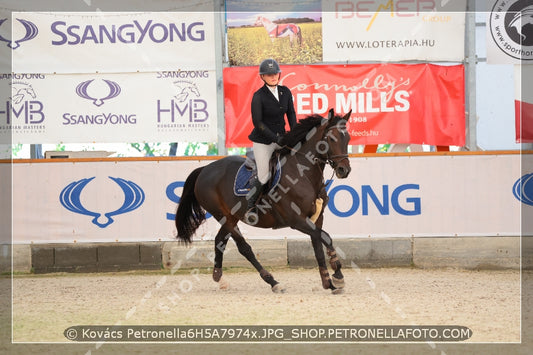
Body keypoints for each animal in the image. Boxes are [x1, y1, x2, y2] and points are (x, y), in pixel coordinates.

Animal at [174, 108, 354, 294]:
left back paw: (220, 278)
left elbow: (318, 246)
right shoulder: (297, 220)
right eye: (331, 139)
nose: (344, 170)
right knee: (244, 248)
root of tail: (205, 169)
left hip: (231, 217)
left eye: (347, 138)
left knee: (219, 241)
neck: (304, 174)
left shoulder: (316, 218)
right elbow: (326, 237)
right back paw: (273, 282)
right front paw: (338, 275)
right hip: (223, 216)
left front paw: (328, 283)